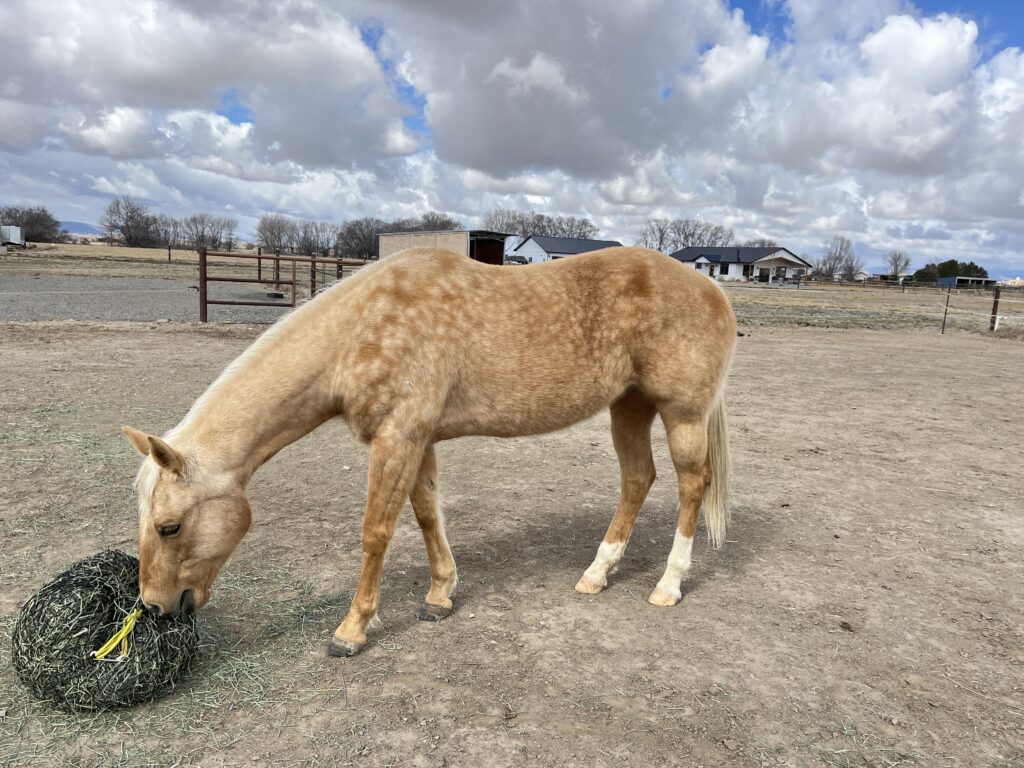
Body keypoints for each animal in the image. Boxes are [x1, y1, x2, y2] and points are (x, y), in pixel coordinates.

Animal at [123, 246, 736, 657]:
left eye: (169, 526)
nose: (153, 607)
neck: (362, 328)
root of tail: (714, 291)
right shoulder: (416, 440)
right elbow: (426, 515)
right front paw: (440, 596)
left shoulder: (398, 437)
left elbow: (377, 531)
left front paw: (352, 630)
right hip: (628, 407)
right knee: (637, 480)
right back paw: (597, 573)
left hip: (681, 415)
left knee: (690, 485)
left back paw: (668, 586)